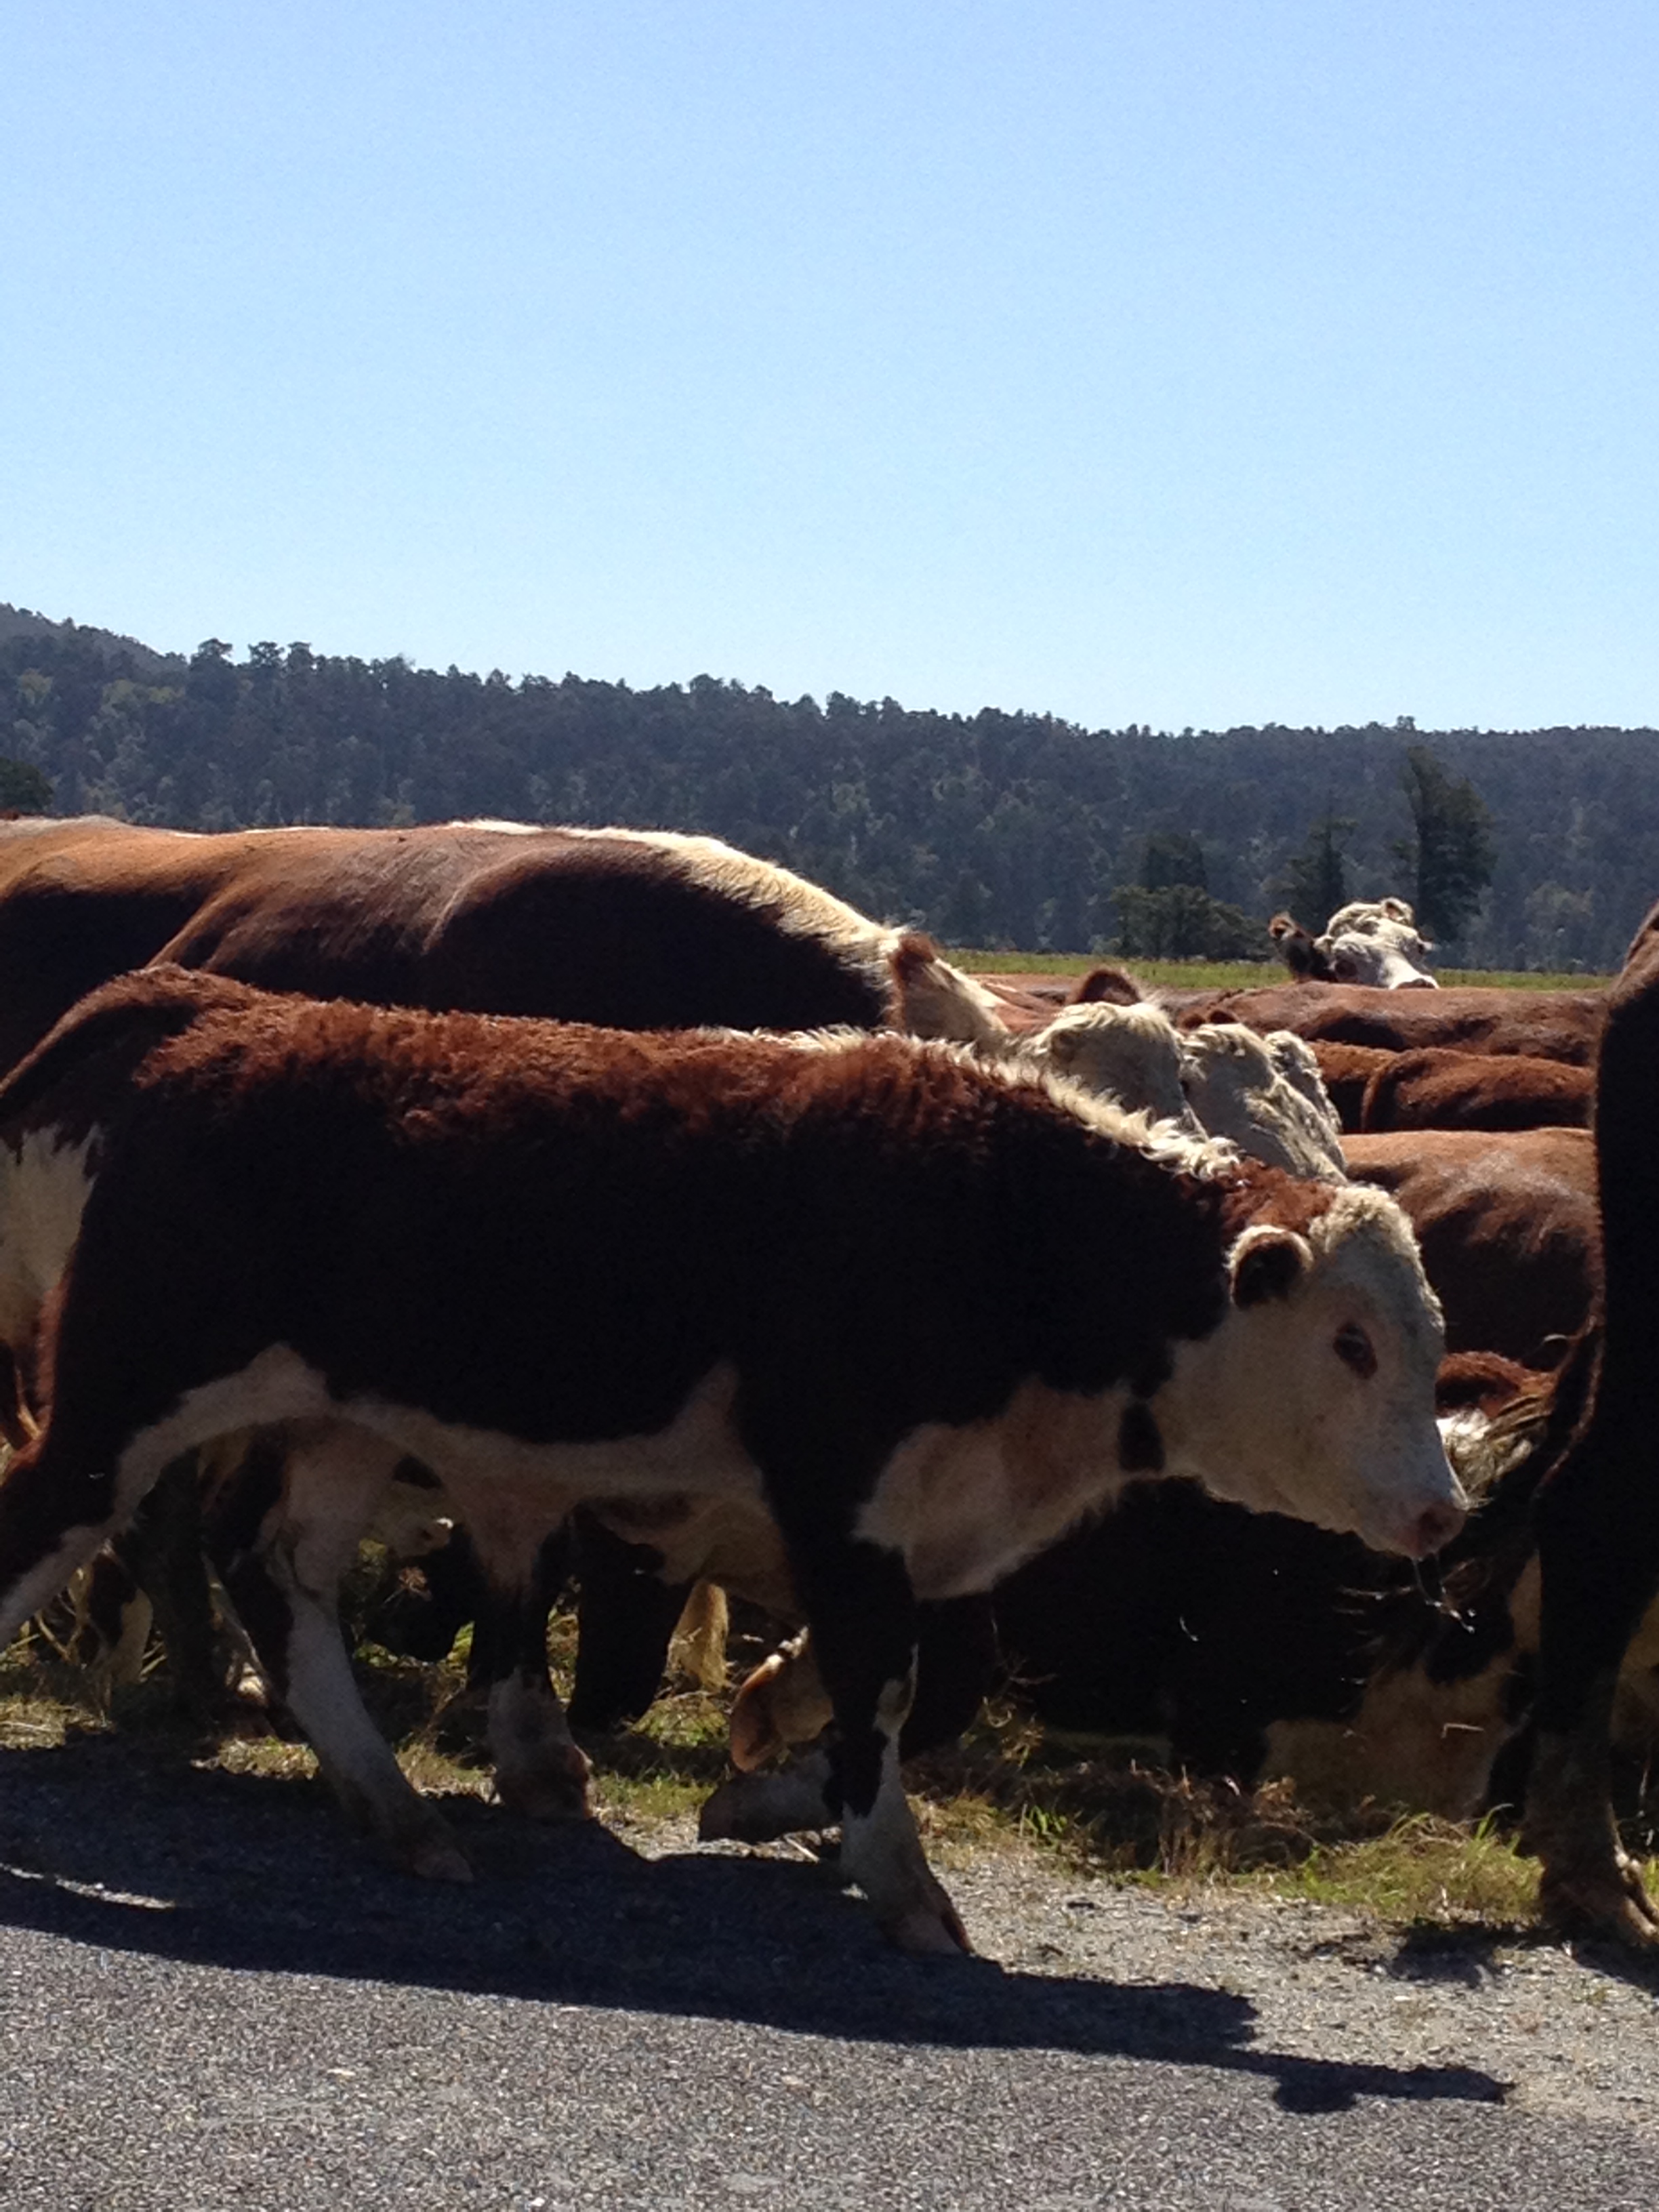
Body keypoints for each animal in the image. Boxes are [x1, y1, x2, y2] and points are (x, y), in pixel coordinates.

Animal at [0, 967, 1465, 1953]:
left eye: (1428, 1332)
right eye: (1350, 1342)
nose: (1440, 1510)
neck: (1010, 1222)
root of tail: (214, 1016)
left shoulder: (925, 1526)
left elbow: (918, 1690)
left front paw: (766, 1794)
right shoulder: (841, 1501)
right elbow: (884, 1687)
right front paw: (891, 1871)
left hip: (336, 1424)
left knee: (277, 1575)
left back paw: (396, 1807)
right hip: (125, 1398)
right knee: (53, 1521)